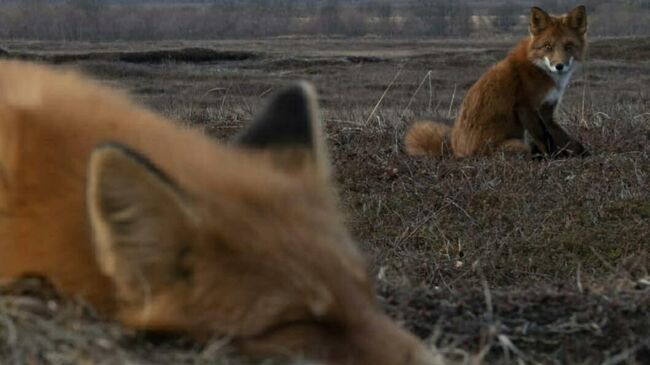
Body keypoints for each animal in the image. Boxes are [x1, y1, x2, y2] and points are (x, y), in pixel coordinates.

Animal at [408, 4, 588, 157]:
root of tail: (455, 150)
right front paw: (552, 157)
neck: (539, 68)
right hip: (517, 145)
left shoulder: (546, 109)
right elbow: (543, 138)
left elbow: (562, 137)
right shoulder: (525, 107)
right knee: (528, 149)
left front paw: (577, 153)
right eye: (548, 46)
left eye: (568, 46)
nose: (559, 66)